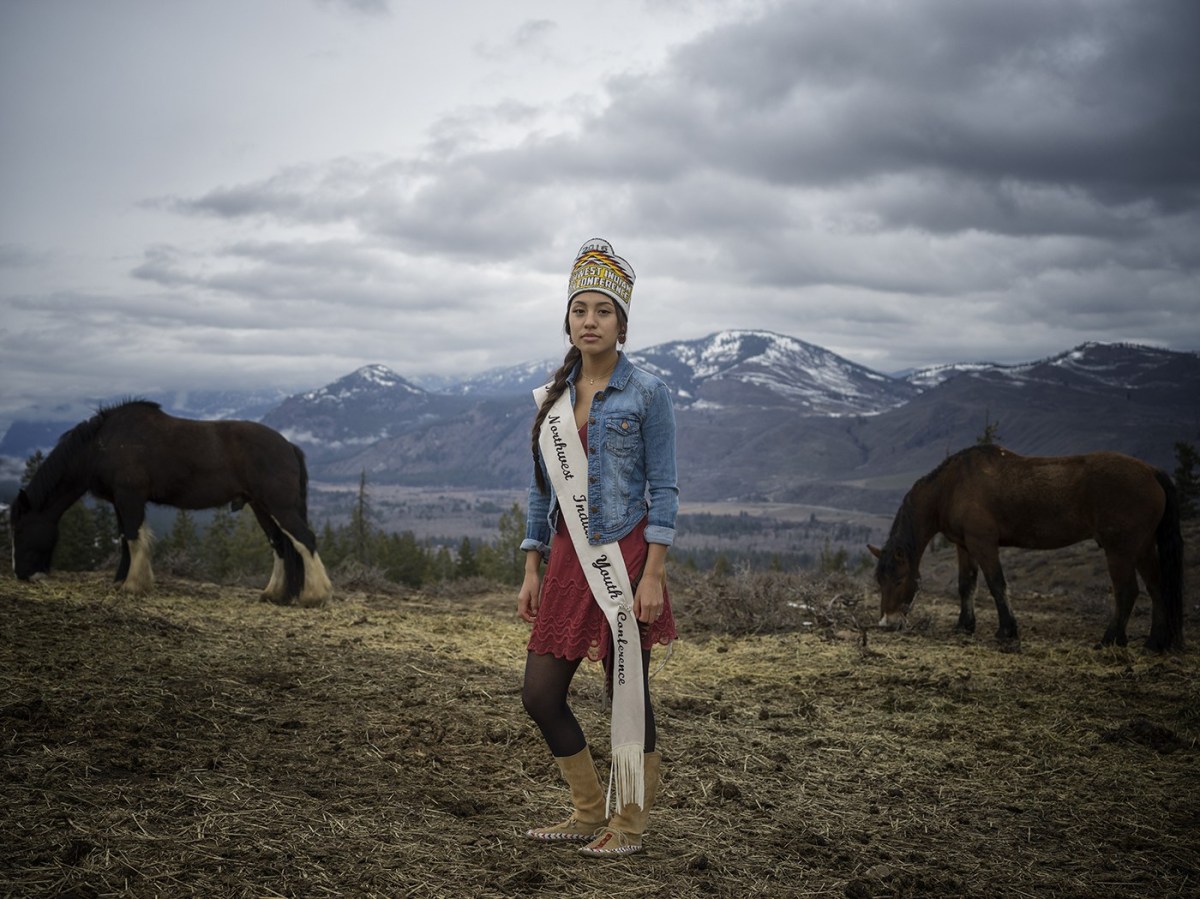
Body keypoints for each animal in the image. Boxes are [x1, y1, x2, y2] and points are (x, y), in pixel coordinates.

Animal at [11, 403, 336, 607]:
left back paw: (315, 596)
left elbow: (133, 538)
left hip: (279, 506)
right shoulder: (120, 501)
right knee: (280, 545)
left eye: (21, 529)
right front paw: (121, 582)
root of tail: (289, 446)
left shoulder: (130, 497)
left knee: (304, 539)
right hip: (261, 507)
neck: (103, 444)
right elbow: (124, 540)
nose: (21, 574)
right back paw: (274, 594)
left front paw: (134, 585)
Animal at [868, 444, 1185, 648]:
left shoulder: (983, 543)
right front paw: (965, 625)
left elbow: (996, 584)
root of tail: (1151, 472)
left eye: (899, 580)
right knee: (1157, 588)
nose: (887, 623)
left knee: (1127, 591)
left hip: (1120, 550)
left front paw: (1007, 630)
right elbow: (966, 585)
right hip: (1142, 547)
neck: (952, 486)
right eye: (879, 580)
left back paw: (1109, 639)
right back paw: (1155, 642)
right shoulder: (964, 546)